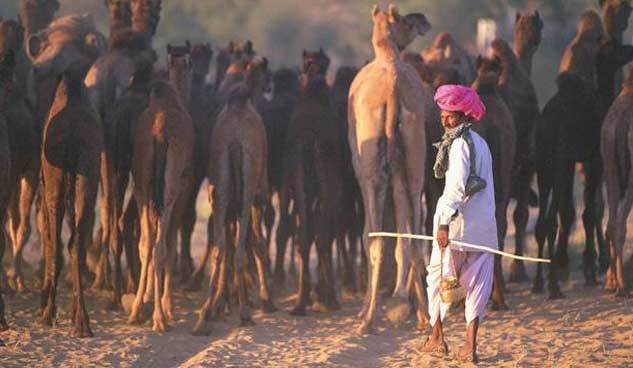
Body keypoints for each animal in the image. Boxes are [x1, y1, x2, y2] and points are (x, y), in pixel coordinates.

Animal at [191, 56, 272, 334]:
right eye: (264, 75)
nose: (269, 87)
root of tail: (235, 138)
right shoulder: (258, 194)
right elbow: (255, 242)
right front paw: (264, 299)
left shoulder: (222, 200)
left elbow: (225, 243)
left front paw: (219, 304)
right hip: (248, 188)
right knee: (240, 246)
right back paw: (245, 312)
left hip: (222, 187)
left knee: (221, 247)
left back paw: (204, 317)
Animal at [348, 4, 432, 334]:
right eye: (408, 21)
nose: (424, 23)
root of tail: (394, 90)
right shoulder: (399, 169)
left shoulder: (362, 168)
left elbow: (369, 233)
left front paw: (364, 310)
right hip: (415, 155)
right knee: (417, 233)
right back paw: (423, 316)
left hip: (371, 164)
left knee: (375, 239)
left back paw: (367, 319)